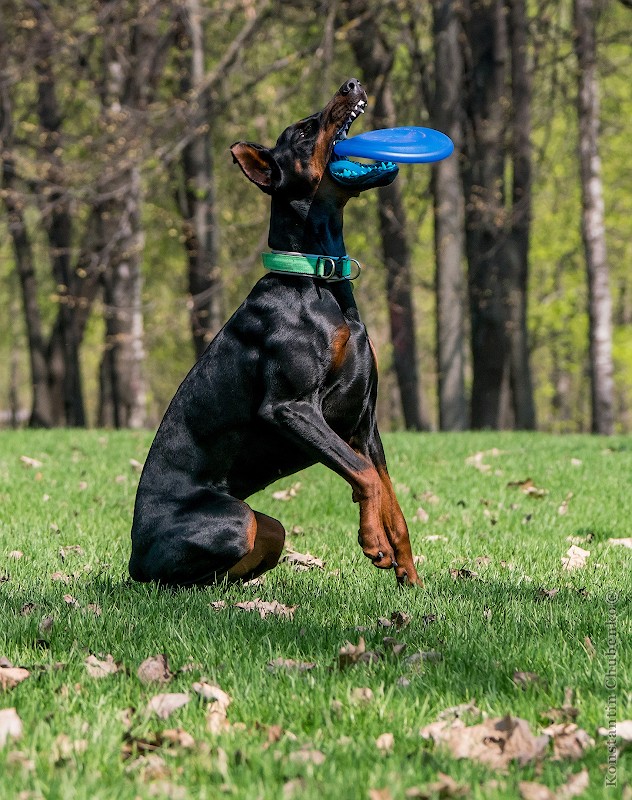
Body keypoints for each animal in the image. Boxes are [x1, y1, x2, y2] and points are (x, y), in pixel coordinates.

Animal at [129, 79, 422, 588]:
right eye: (304, 131)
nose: (351, 84)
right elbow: (364, 476)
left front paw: (409, 573)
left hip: (272, 527)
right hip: (235, 519)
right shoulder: (290, 408)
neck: (317, 279)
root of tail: (132, 558)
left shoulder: (363, 420)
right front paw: (373, 542)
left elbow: (389, 494)